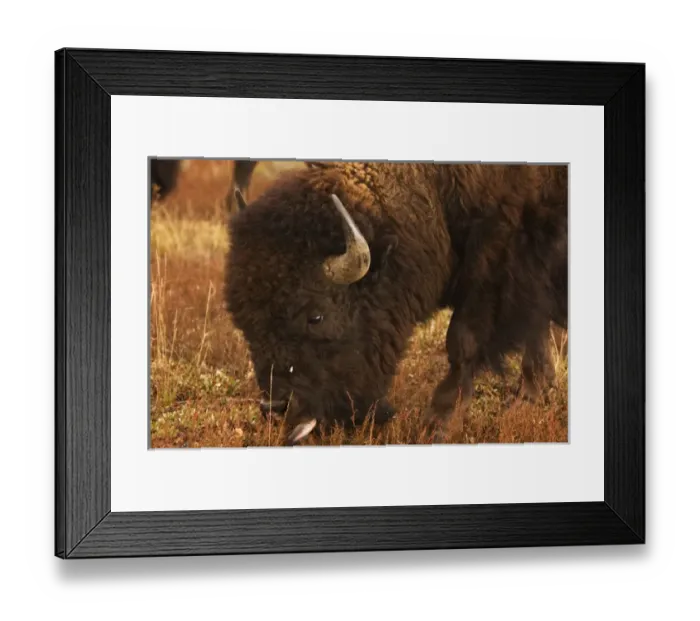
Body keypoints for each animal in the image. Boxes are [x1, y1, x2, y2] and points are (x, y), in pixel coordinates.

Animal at [224, 161, 568, 445]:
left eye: (316, 316)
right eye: (243, 321)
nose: (275, 407)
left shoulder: (501, 259)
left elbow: (463, 340)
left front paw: (437, 425)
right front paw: (534, 393)